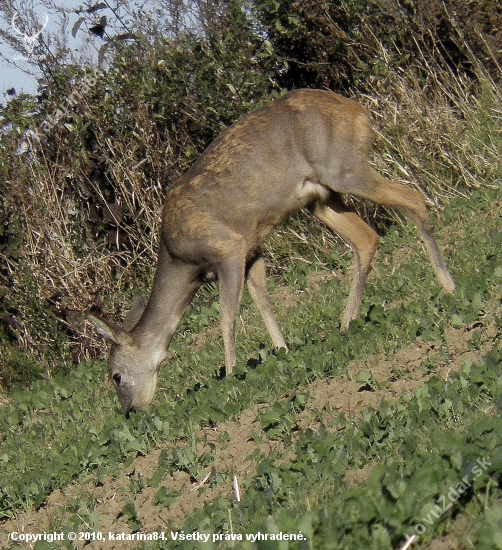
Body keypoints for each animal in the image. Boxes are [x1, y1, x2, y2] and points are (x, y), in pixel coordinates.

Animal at [86, 89, 454, 414]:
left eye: (115, 376)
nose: (131, 411)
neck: (182, 260)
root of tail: (359, 110)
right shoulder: (253, 249)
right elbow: (262, 299)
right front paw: (282, 349)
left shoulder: (227, 247)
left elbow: (227, 315)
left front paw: (231, 376)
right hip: (321, 198)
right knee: (367, 238)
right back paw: (347, 321)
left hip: (343, 168)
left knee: (414, 199)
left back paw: (447, 285)